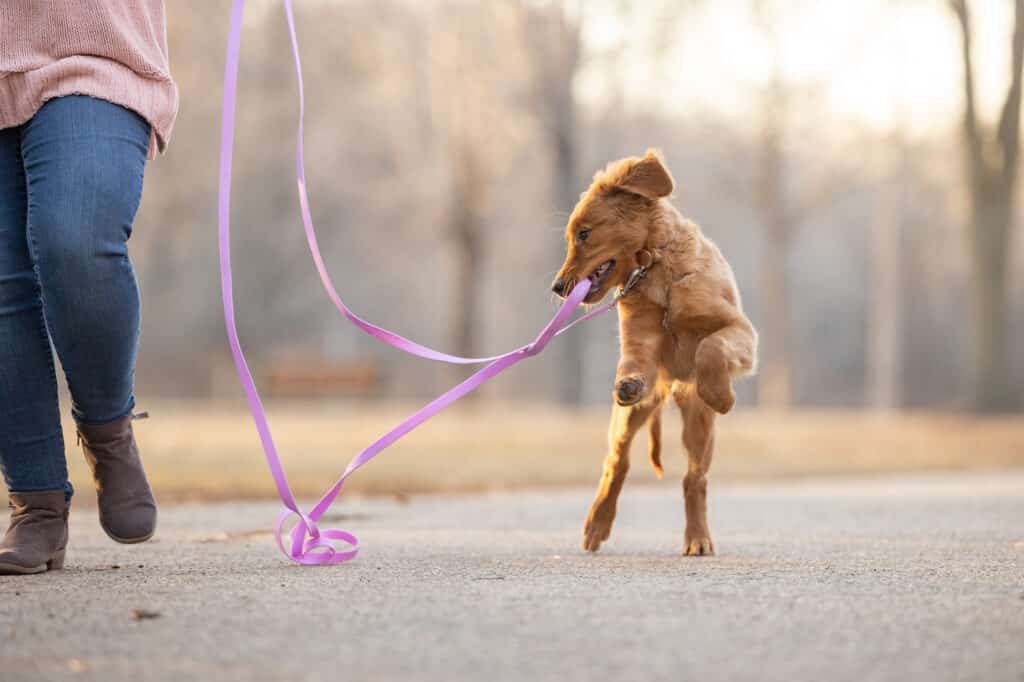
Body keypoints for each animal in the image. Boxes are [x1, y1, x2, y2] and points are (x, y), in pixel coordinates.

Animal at [552, 147, 761, 552]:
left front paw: (722, 395)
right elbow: (635, 367)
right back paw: (596, 525)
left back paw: (698, 539)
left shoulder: (741, 332)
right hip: (627, 418)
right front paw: (629, 383)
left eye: (584, 233)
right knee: (617, 463)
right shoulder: (640, 348)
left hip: (699, 426)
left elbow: (710, 346)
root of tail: (670, 388)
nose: (556, 288)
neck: (655, 269)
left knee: (694, 479)